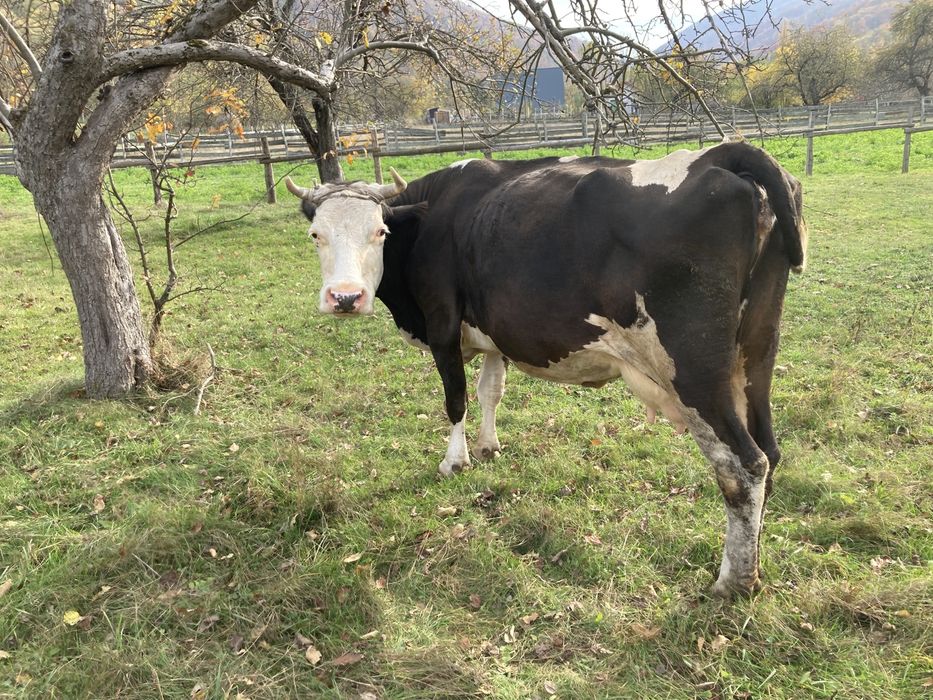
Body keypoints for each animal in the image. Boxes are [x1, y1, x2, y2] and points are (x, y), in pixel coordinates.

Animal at [284, 140, 807, 598]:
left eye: (380, 233)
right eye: (316, 235)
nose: (346, 298)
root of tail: (720, 153)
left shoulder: (442, 325)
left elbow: (455, 397)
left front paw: (456, 460)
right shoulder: (493, 333)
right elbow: (490, 390)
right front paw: (489, 446)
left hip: (694, 370)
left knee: (742, 465)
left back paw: (733, 581)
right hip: (756, 354)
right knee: (769, 451)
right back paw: (755, 562)